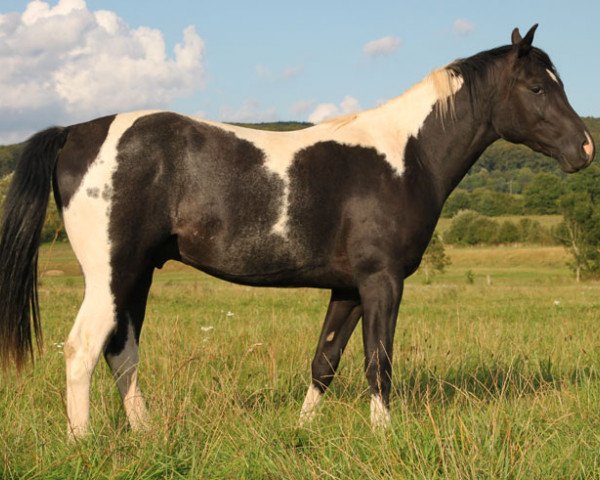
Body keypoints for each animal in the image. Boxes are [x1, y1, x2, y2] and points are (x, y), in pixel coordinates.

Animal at [0, 25, 592, 438]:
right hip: (111, 274)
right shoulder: (381, 281)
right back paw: (84, 442)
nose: (584, 148)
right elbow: (378, 361)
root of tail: (76, 132)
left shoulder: (348, 288)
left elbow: (324, 361)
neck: (405, 156)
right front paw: (384, 435)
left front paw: (303, 430)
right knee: (82, 349)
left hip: (137, 275)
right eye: (537, 87)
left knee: (122, 352)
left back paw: (144, 433)